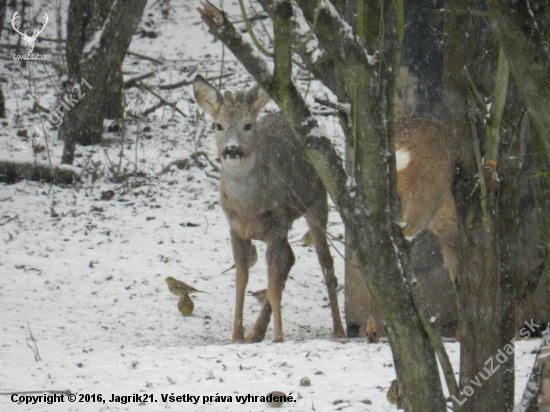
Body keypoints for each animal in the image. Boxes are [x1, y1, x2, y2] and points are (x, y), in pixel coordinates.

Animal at [194, 75, 348, 342]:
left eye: (248, 125)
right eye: (218, 125)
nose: (232, 150)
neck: (249, 206)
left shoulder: (277, 225)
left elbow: (274, 285)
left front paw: (278, 337)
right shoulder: (236, 230)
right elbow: (241, 281)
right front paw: (237, 336)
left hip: (317, 200)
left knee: (326, 263)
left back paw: (339, 330)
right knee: (291, 257)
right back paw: (255, 333)